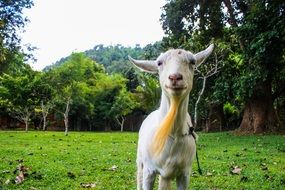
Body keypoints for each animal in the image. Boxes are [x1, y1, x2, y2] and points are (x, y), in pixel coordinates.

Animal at [129, 43, 213, 189]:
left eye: (192, 62)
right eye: (159, 63)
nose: (175, 77)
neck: (172, 132)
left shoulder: (185, 173)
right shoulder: (149, 170)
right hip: (140, 159)